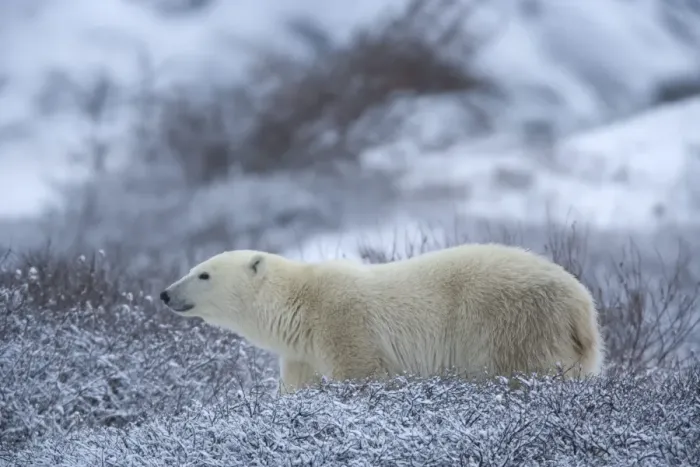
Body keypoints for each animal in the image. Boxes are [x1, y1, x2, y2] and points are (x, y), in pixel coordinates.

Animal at [160, 243, 605, 394]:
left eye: (203, 274)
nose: (165, 293)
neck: (300, 303)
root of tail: (582, 306)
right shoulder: (302, 353)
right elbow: (299, 389)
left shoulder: (343, 323)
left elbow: (361, 376)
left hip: (514, 324)